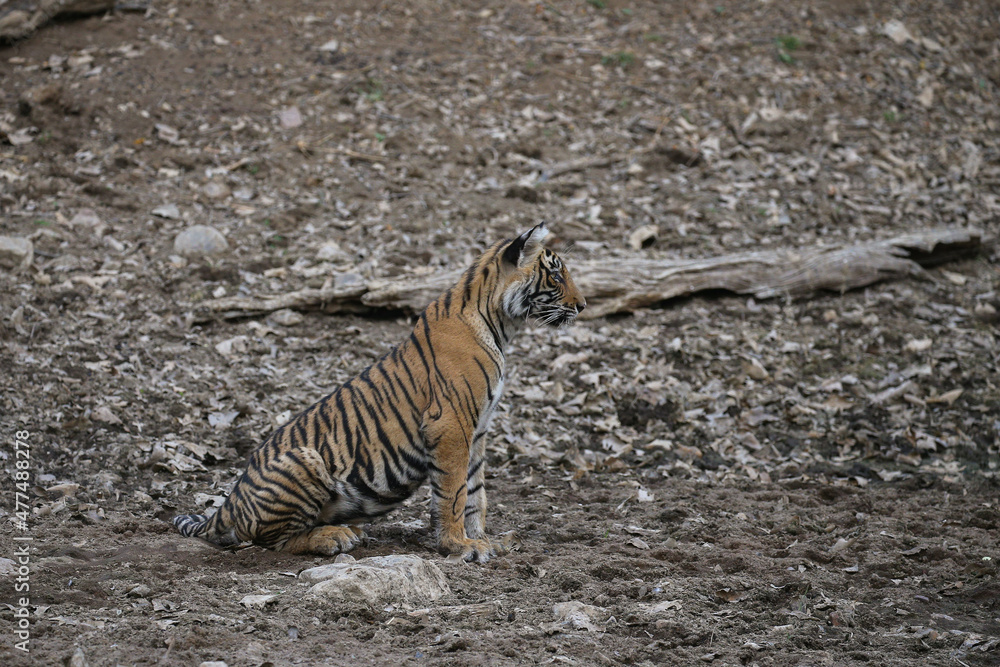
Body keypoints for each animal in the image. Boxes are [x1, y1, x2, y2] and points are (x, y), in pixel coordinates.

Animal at [172, 223, 585, 562]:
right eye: (556, 274)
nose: (582, 306)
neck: (502, 324)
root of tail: (229, 501)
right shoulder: (451, 425)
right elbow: (454, 491)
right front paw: (459, 546)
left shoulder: (479, 428)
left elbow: (476, 492)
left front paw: (484, 539)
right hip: (303, 460)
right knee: (269, 540)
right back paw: (333, 538)